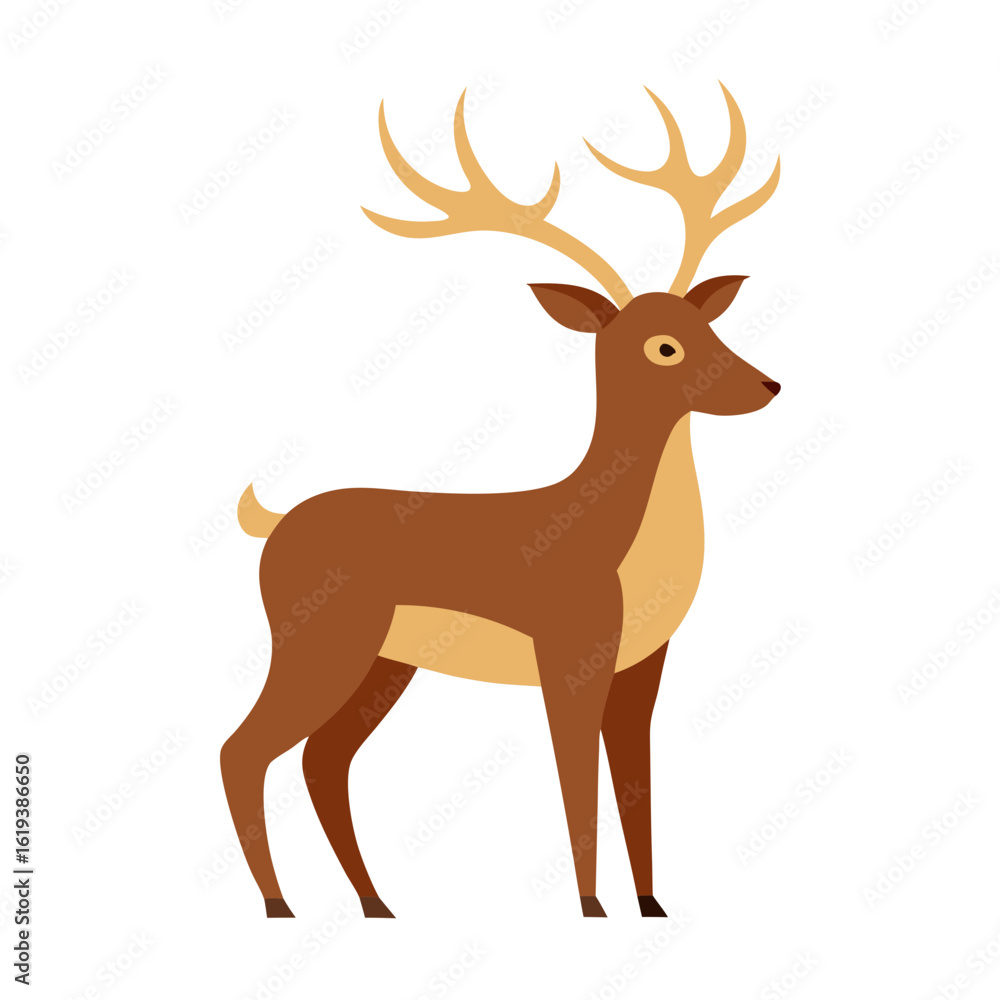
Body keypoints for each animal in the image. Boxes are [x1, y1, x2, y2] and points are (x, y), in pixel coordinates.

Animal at [221, 82, 781, 920]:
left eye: (703, 322)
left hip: (384, 664)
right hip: (317, 644)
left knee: (324, 760)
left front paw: (651, 907)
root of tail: (276, 523)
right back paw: (280, 907)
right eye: (663, 347)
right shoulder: (569, 655)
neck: (614, 533)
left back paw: (377, 906)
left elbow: (636, 783)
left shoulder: (643, 666)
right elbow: (575, 781)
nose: (768, 385)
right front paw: (592, 911)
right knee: (244, 750)